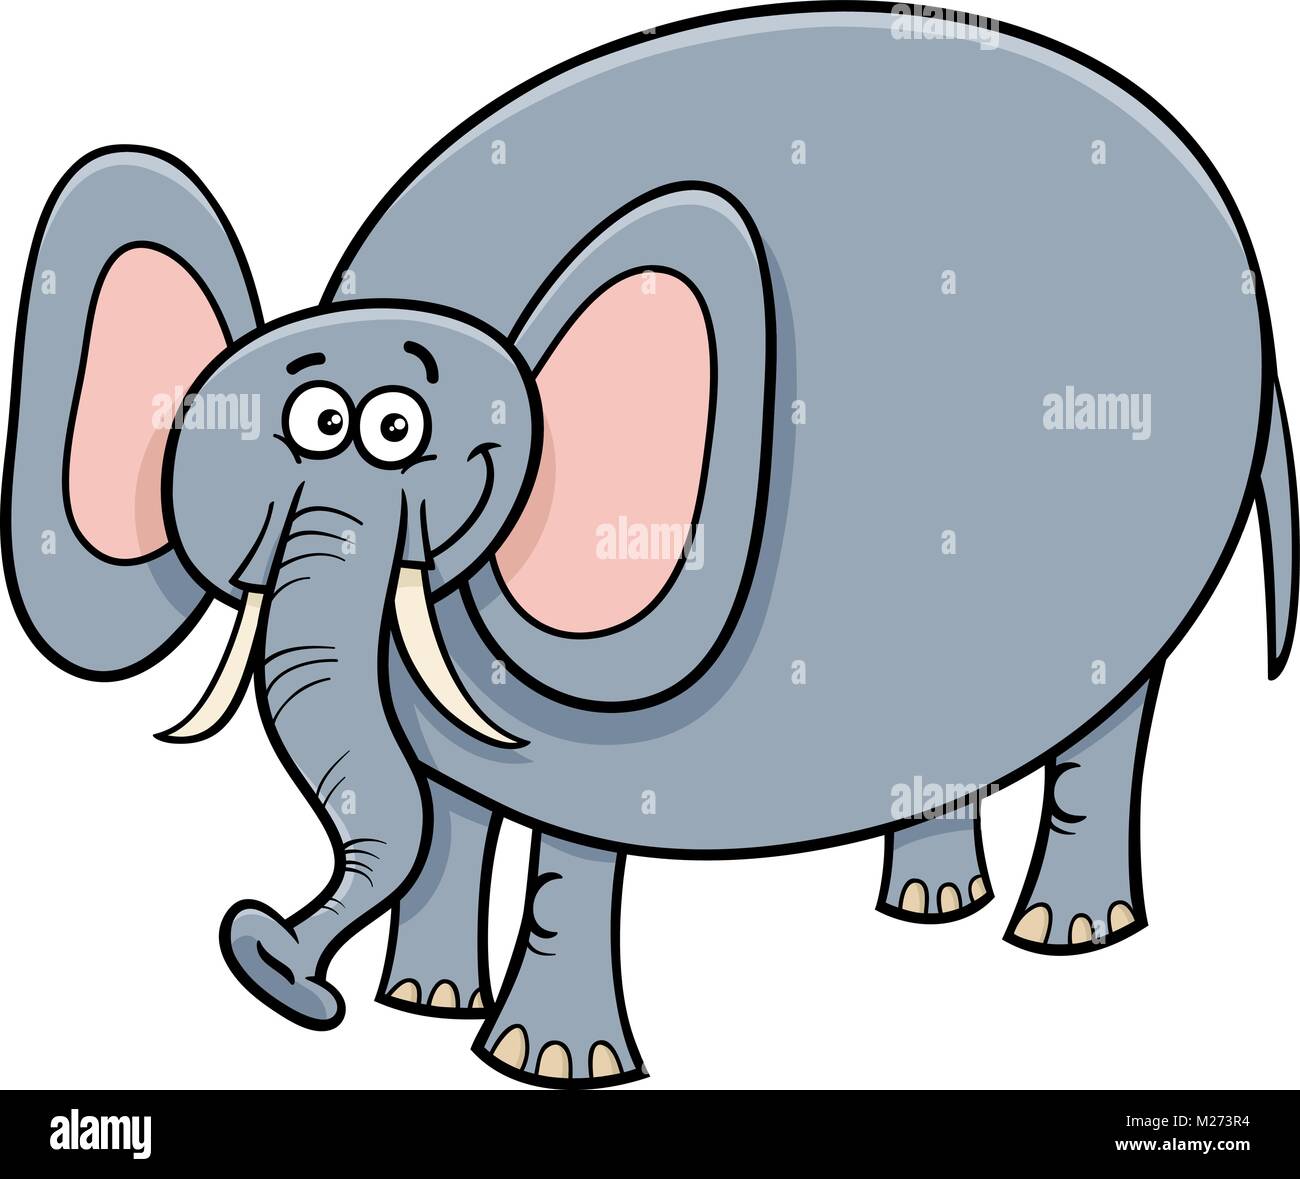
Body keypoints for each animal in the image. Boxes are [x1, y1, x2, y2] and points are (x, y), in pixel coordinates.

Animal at [3, 5, 1294, 1089]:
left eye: (384, 429)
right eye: (293, 430)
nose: (268, 959)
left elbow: (568, 849)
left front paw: (543, 1064)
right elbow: (453, 803)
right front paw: (421, 1005)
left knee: (1112, 717)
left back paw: (1064, 936)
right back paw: (929, 905)